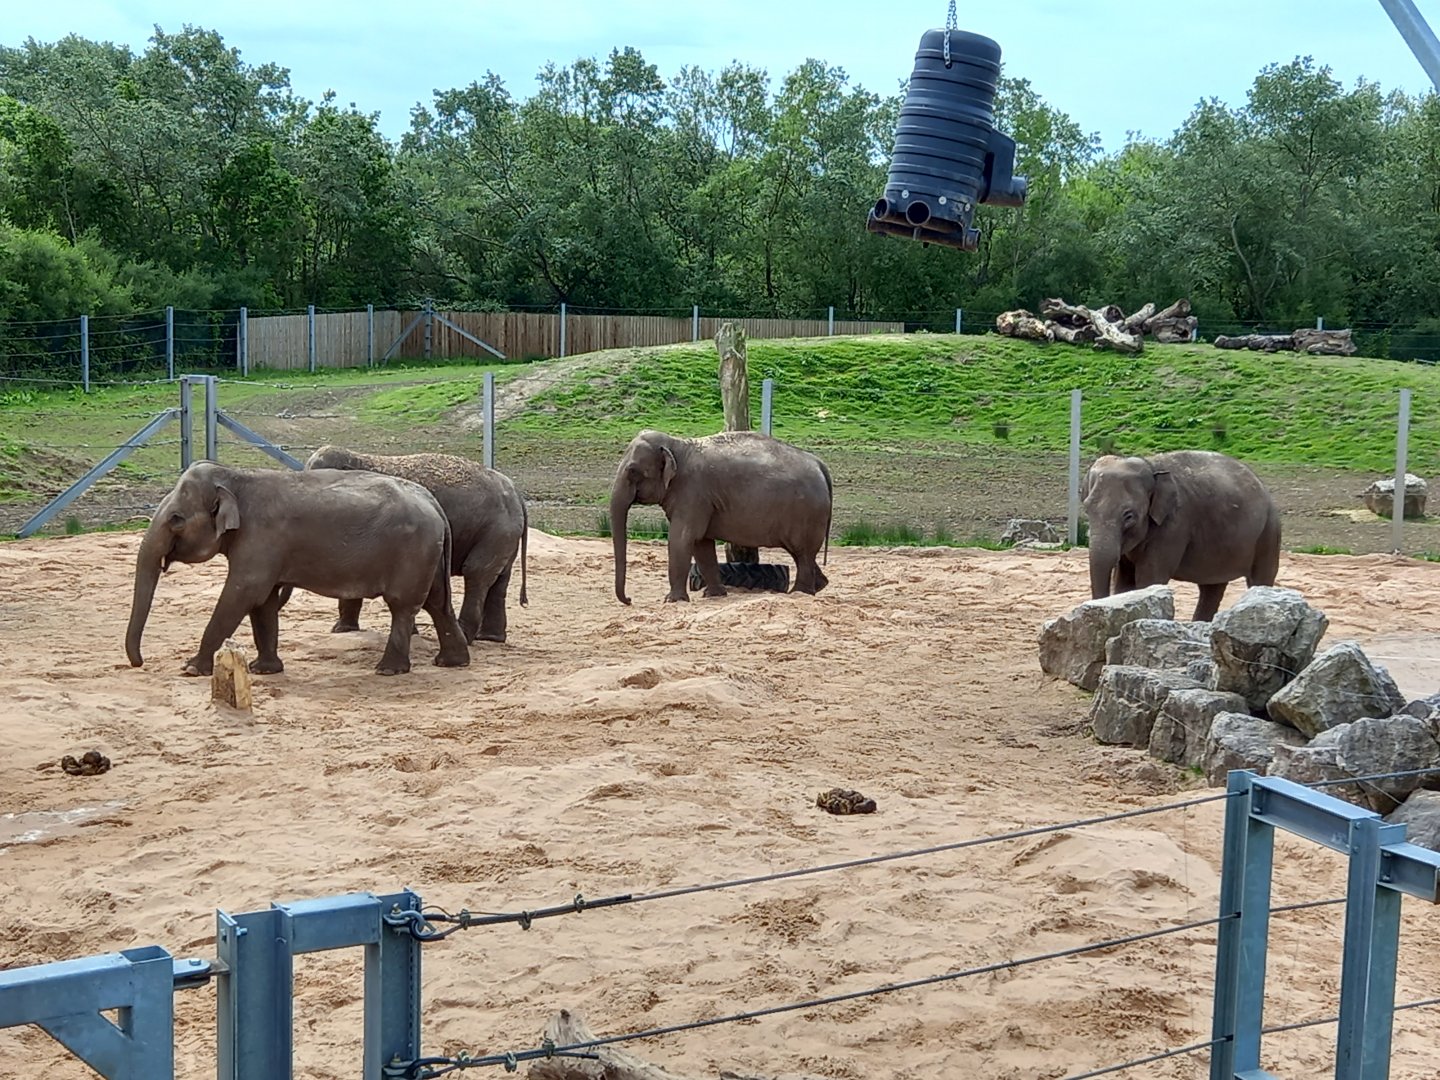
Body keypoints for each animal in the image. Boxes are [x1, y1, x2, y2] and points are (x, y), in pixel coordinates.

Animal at [125, 461, 471, 677]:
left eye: (176, 519)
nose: (139, 663)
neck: (236, 476)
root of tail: (433, 501)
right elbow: (263, 603)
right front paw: (264, 670)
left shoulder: (260, 539)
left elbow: (242, 594)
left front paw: (191, 669)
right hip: (429, 554)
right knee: (437, 604)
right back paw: (452, 662)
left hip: (413, 552)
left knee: (403, 606)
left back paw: (388, 670)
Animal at [303, 446, 529, 643]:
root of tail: (516, 494)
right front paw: (342, 631)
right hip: (504, 533)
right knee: (499, 579)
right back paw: (490, 638)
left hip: (497, 530)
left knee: (476, 572)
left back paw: (466, 636)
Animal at [610, 429, 833, 604]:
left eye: (632, 471)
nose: (629, 599)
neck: (677, 444)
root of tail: (820, 464)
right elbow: (701, 544)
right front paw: (714, 595)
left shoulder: (693, 494)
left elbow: (682, 538)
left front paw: (672, 600)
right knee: (802, 554)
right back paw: (818, 586)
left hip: (807, 513)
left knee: (803, 554)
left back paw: (799, 594)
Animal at [1081, 450, 1281, 621]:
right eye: (1086, 509)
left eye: (1129, 516)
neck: (1152, 466)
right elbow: (1124, 580)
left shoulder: (1174, 525)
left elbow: (1150, 579)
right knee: (1212, 588)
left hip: (1269, 531)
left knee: (1260, 578)